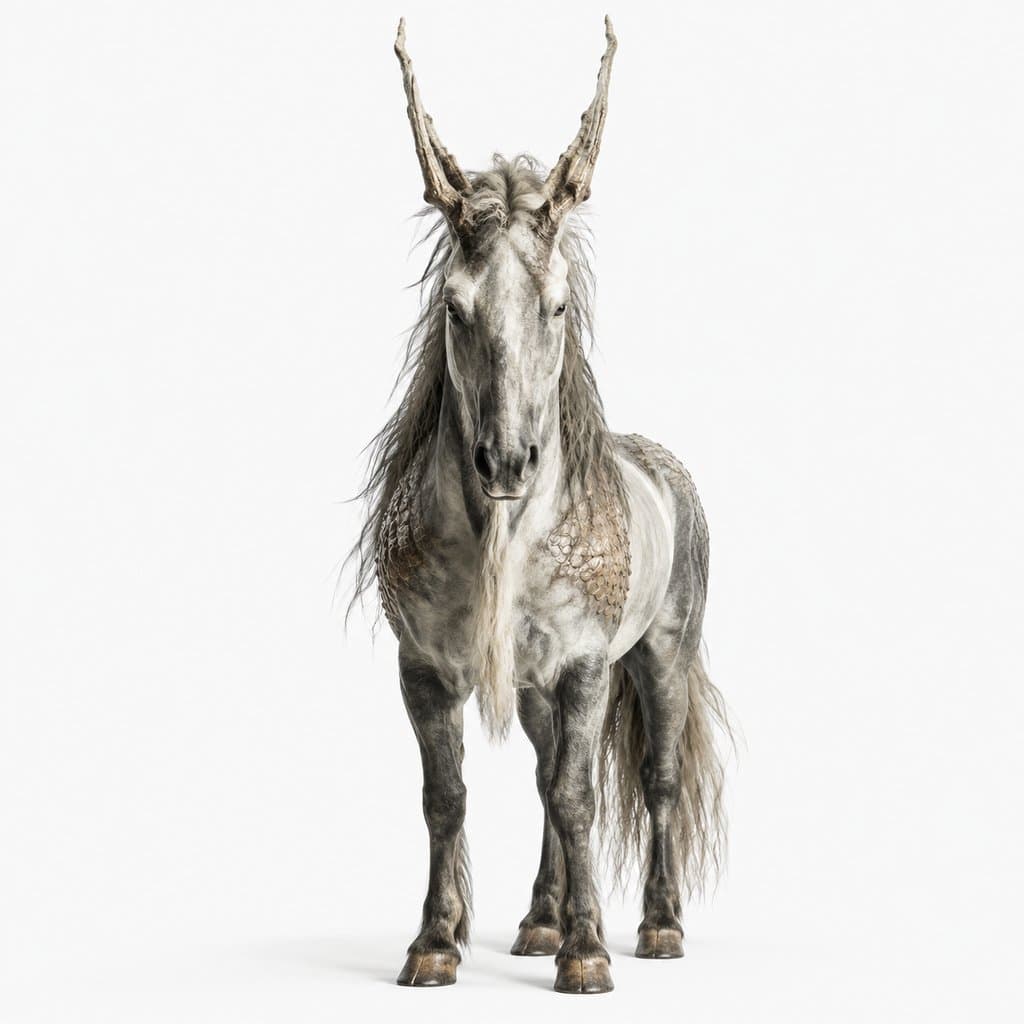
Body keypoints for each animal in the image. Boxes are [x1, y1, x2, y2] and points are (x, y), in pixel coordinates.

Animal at [350, 18, 731, 995]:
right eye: (454, 307)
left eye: (557, 307)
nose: (507, 461)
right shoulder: (425, 670)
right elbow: (447, 795)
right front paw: (437, 942)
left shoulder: (588, 667)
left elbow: (581, 795)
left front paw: (589, 955)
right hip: (531, 689)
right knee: (546, 774)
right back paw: (537, 922)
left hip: (663, 658)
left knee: (650, 779)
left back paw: (659, 927)